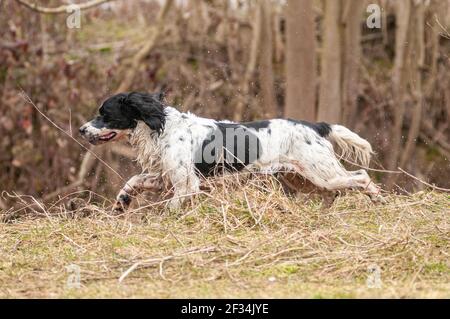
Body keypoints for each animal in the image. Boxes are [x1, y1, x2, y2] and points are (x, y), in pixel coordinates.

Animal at [80, 92, 380, 212]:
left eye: (105, 114)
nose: (82, 130)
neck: (161, 126)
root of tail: (316, 125)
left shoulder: (186, 184)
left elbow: (172, 206)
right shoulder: (166, 176)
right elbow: (133, 181)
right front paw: (122, 203)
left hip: (321, 172)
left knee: (361, 177)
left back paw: (377, 200)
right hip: (303, 178)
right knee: (335, 192)